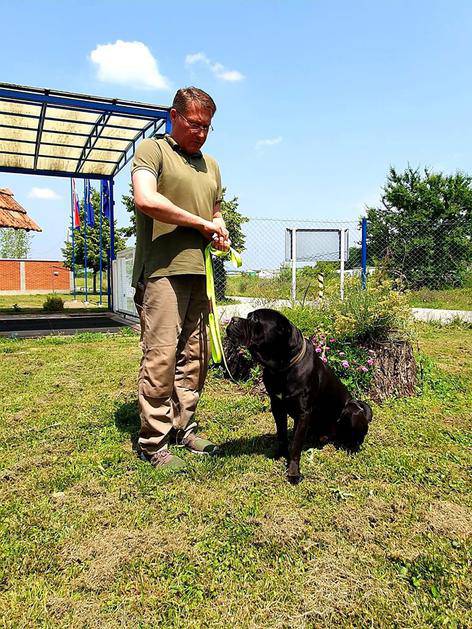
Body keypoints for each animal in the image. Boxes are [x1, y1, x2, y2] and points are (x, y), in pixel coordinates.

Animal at [225, 308, 372, 480]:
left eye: (255, 319)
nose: (233, 319)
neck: (282, 368)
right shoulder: (277, 406)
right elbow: (282, 435)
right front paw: (280, 454)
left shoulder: (303, 413)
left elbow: (295, 445)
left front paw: (293, 472)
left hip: (352, 411)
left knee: (358, 434)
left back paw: (352, 447)